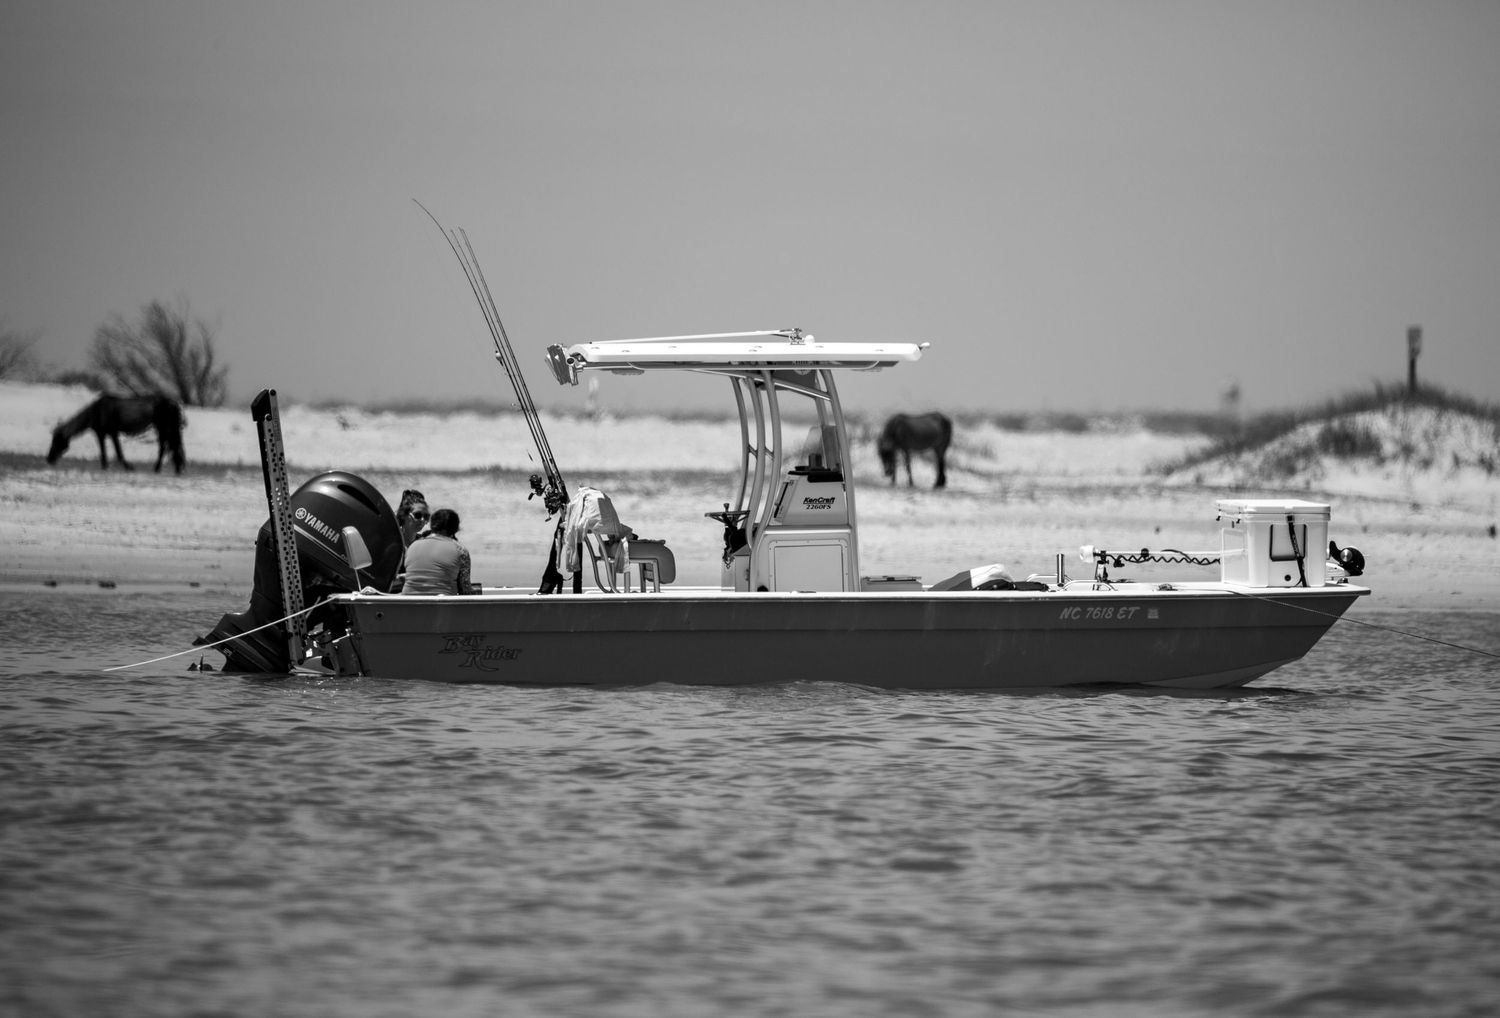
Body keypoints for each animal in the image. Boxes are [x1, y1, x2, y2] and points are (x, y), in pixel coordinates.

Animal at [46, 394, 186, 474]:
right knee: (171, 446)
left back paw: (160, 468)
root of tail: (173, 403)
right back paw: (173, 468)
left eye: (56, 440)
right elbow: (104, 452)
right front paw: (105, 466)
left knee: (165, 446)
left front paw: (128, 467)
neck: (96, 412)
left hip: (163, 428)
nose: (49, 459)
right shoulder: (102, 434)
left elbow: (118, 452)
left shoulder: (112, 433)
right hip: (165, 428)